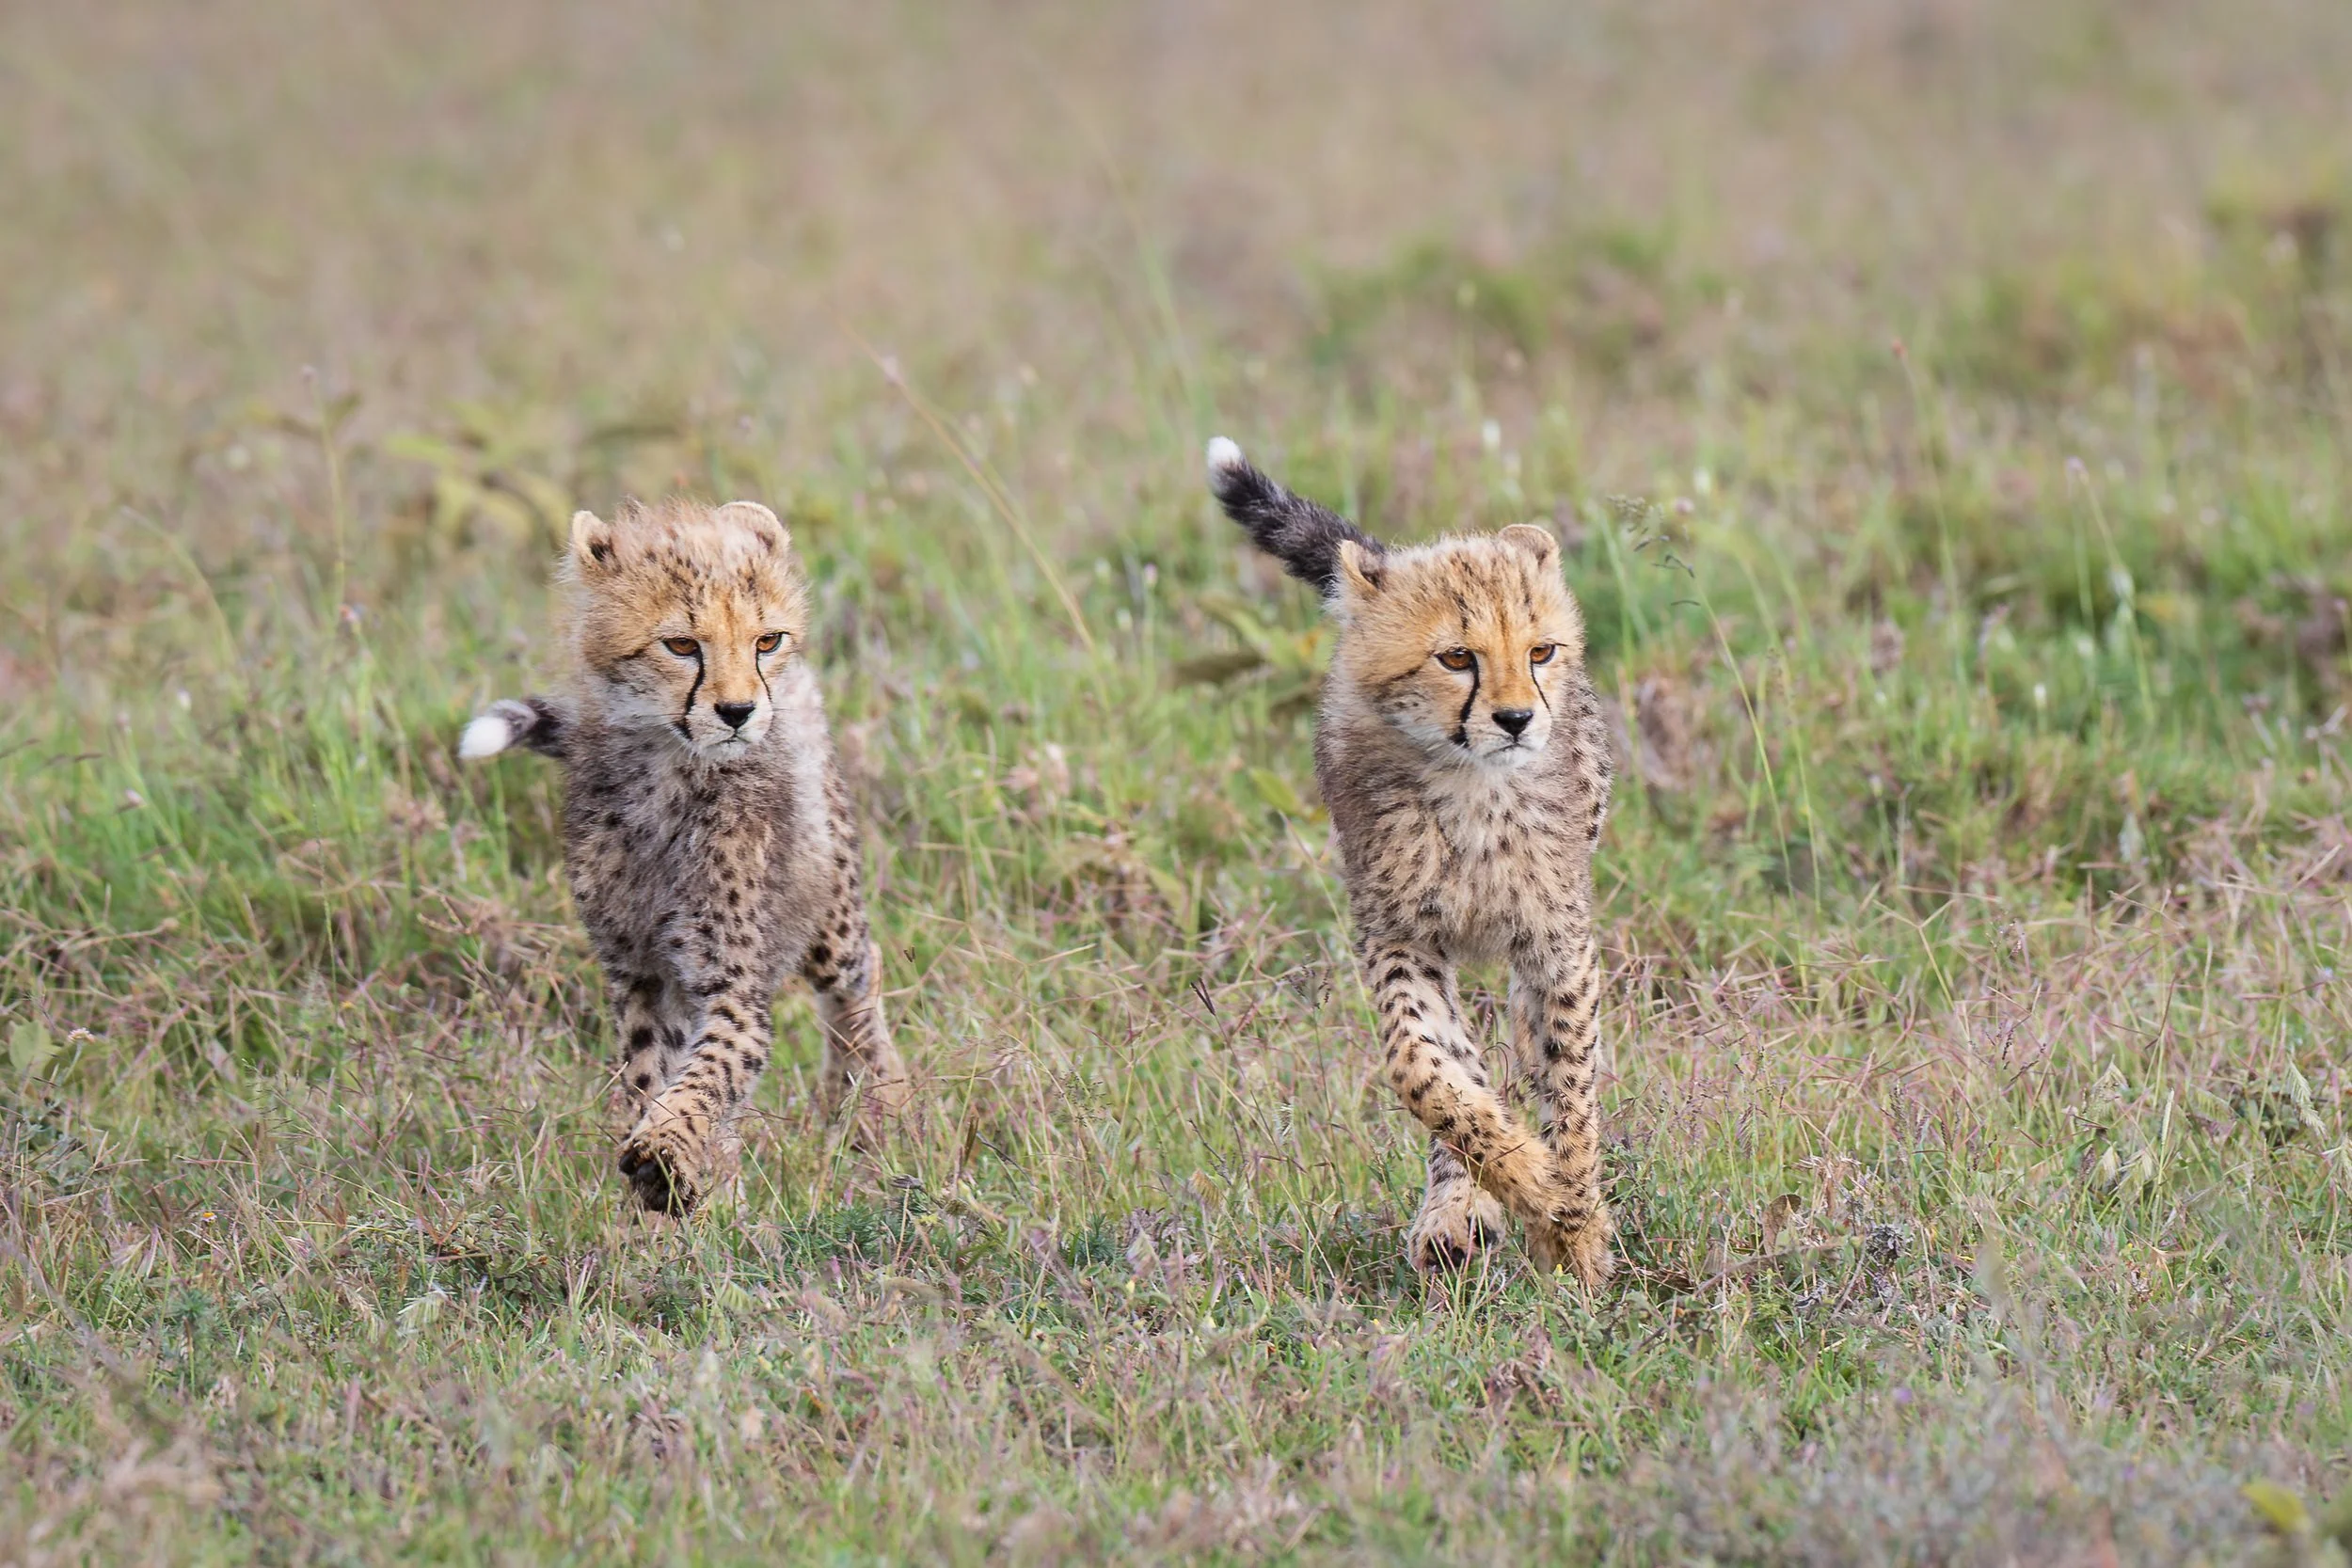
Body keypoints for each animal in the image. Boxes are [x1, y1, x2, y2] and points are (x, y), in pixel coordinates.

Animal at [459, 496, 909, 1215]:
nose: (739, 711)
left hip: (832, 913)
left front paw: (668, 1152)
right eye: (680, 645)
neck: (670, 770)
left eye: (766, 641)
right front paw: (682, 1193)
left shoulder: (732, 987)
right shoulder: (640, 976)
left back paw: (880, 1103)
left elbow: (711, 1071)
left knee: (858, 983)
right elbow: (653, 1072)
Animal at [1205, 437, 1616, 1286]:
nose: (1517, 719)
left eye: (1541, 651)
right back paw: (1458, 1211)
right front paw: (1529, 1182)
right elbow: (1423, 1070)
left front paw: (1575, 1227)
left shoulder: (1557, 941)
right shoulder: (1400, 936)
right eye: (1456, 656)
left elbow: (1570, 1081)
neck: (1471, 786)